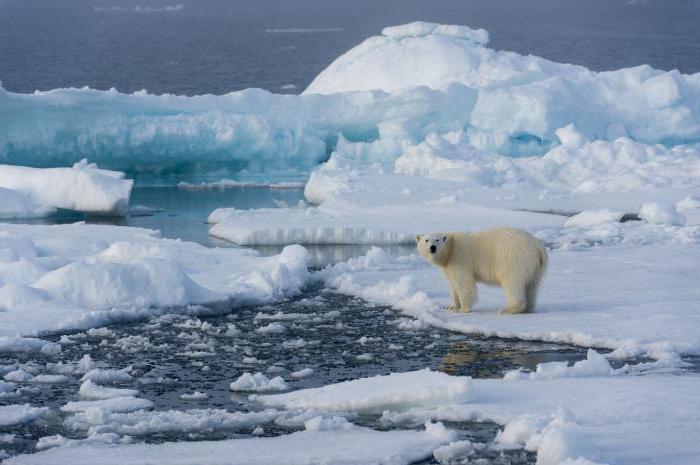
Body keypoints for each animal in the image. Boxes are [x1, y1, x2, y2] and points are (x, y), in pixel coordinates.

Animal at [416, 227, 548, 314]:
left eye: (437, 240)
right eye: (426, 240)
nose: (432, 248)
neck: (450, 249)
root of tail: (538, 246)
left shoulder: (460, 258)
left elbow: (464, 283)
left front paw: (462, 309)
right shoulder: (448, 266)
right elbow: (453, 284)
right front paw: (451, 307)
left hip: (514, 258)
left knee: (512, 283)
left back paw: (507, 309)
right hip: (536, 267)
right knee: (532, 286)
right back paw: (529, 308)